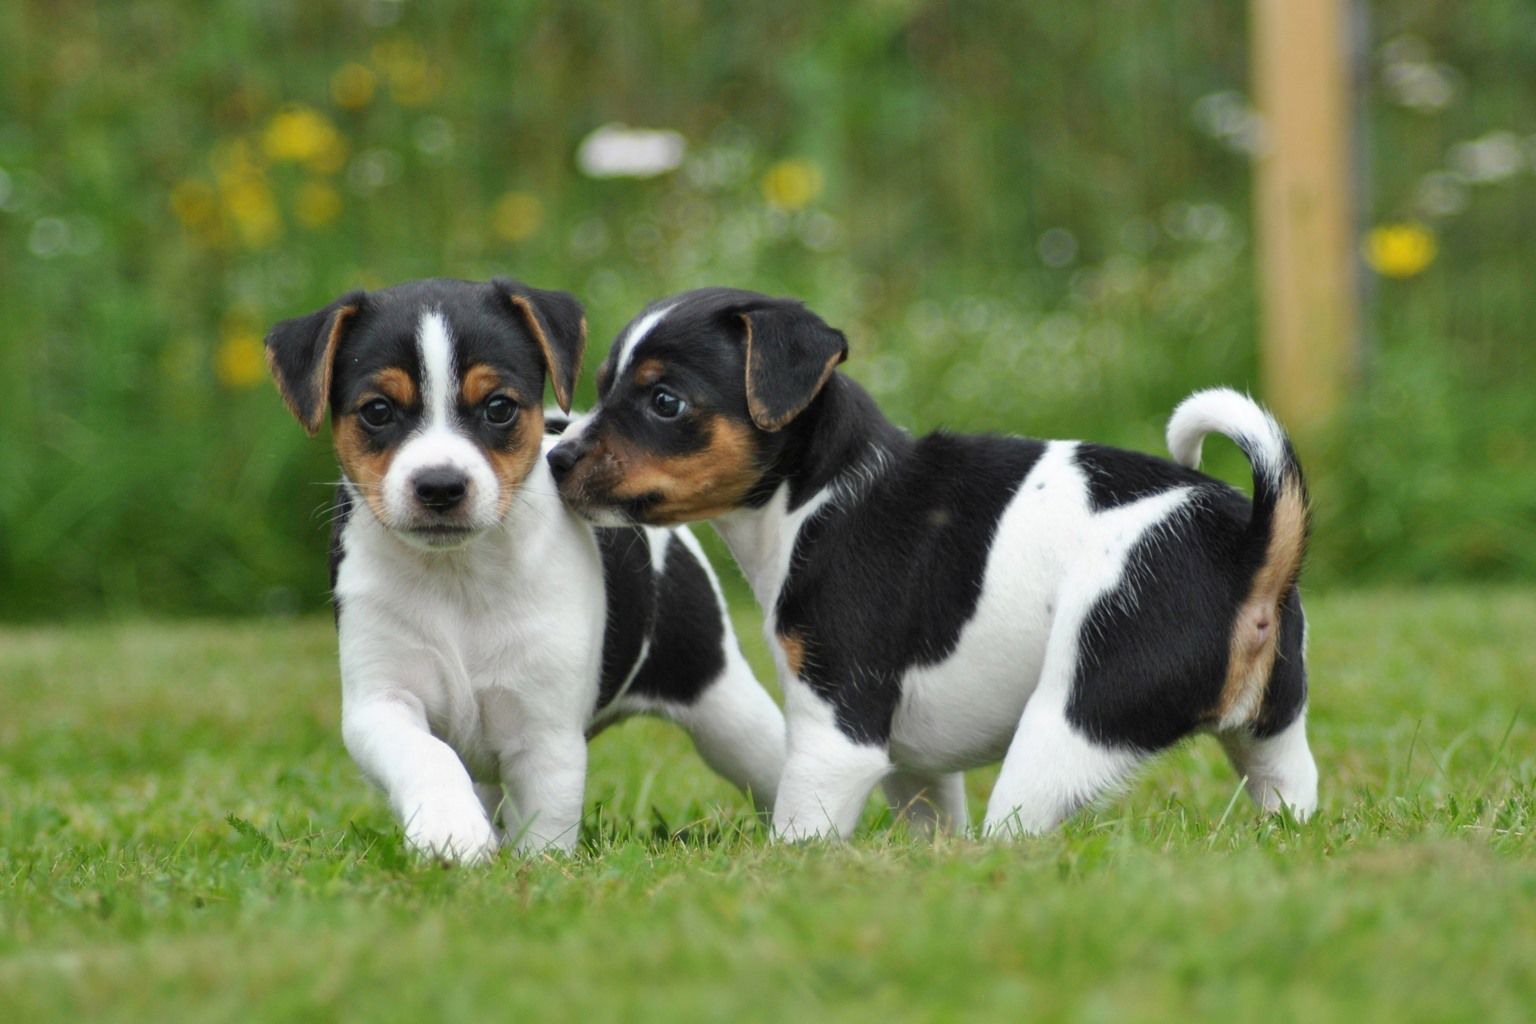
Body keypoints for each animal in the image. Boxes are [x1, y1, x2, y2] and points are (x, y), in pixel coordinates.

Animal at [262, 276, 780, 859]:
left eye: (499, 407)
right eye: (376, 411)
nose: (439, 485)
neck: (458, 574)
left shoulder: (545, 733)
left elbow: (544, 827)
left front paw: (537, 867)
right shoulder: (381, 701)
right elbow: (428, 754)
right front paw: (452, 829)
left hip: (726, 710)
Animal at [546, 288, 1314, 841]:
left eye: (664, 402)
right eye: (602, 386)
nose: (556, 458)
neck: (821, 492)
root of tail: (1248, 547)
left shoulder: (837, 728)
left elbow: (799, 830)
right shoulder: (910, 761)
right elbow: (930, 821)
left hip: (1067, 728)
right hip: (1272, 735)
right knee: (1290, 794)